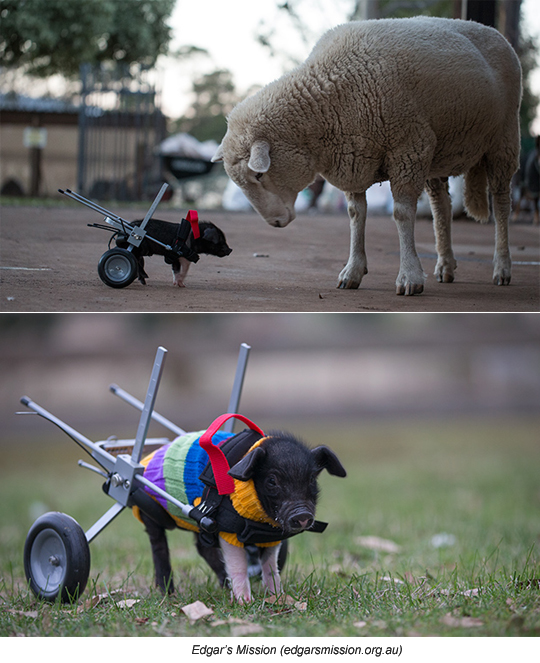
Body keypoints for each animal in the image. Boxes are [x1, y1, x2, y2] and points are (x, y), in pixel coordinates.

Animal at [213, 16, 520, 296]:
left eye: (259, 174)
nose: (275, 223)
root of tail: (491, 30)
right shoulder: (353, 158)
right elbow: (355, 214)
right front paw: (352, 271)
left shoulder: (408, 147)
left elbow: (401, 213)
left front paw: (409, 277)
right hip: (439, 150)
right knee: (441, 207)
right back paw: (445, 265)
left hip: (504, 140)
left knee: (501, 203)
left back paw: (502, 268)